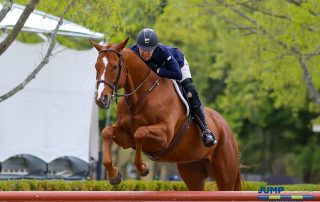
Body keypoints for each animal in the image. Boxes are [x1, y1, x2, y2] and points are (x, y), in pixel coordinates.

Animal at [89, 38, 241, 191]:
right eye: (96, 67)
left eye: (114, 67)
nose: (101, 99)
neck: (139, 98)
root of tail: (225, 126)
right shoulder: (126, 137)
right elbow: (106, 132)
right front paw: (114, 175)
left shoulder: (164, 136)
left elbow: (140, 132)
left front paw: (142, 168)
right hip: (192, 171)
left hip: (225, 176)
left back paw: (208, 136)